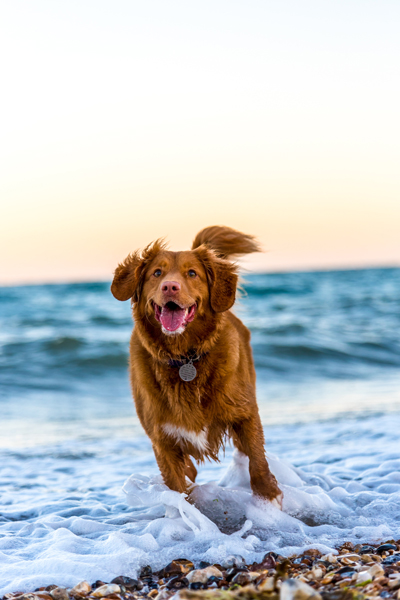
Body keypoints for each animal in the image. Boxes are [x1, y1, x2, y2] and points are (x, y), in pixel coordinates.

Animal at [111, 227, 282, 504]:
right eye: (156, 273)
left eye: (192, 273)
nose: (170, 286)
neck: (185, 357)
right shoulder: (162, 440)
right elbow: (178, 487)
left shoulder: (245, 413)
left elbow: (257, 459)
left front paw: (269, 495)